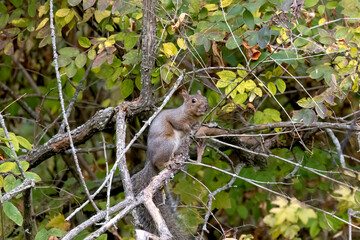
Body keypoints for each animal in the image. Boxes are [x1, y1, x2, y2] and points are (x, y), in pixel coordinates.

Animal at [131, 89, 208, 239]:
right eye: (193, 100)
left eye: (205, 98)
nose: (206, 106)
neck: (189, 115)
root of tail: (149, 159)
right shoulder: (175, 118)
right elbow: (180, 124)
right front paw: (188, 128)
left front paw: (196, 126)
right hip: (168, 143)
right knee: (159, 161)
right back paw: (167, 163)